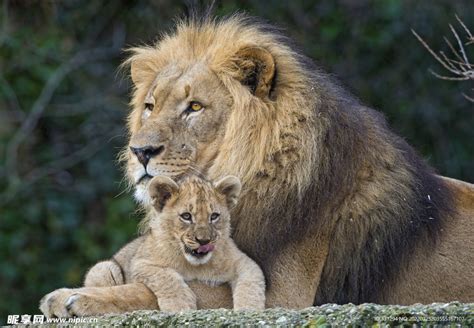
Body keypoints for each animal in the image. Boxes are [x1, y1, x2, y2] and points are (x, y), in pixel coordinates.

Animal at [40, 14, 474, 316]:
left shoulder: (281, 294)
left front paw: (73, 296)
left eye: (194, 107)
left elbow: (162, 289)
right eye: (150, 106)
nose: (140, 151)